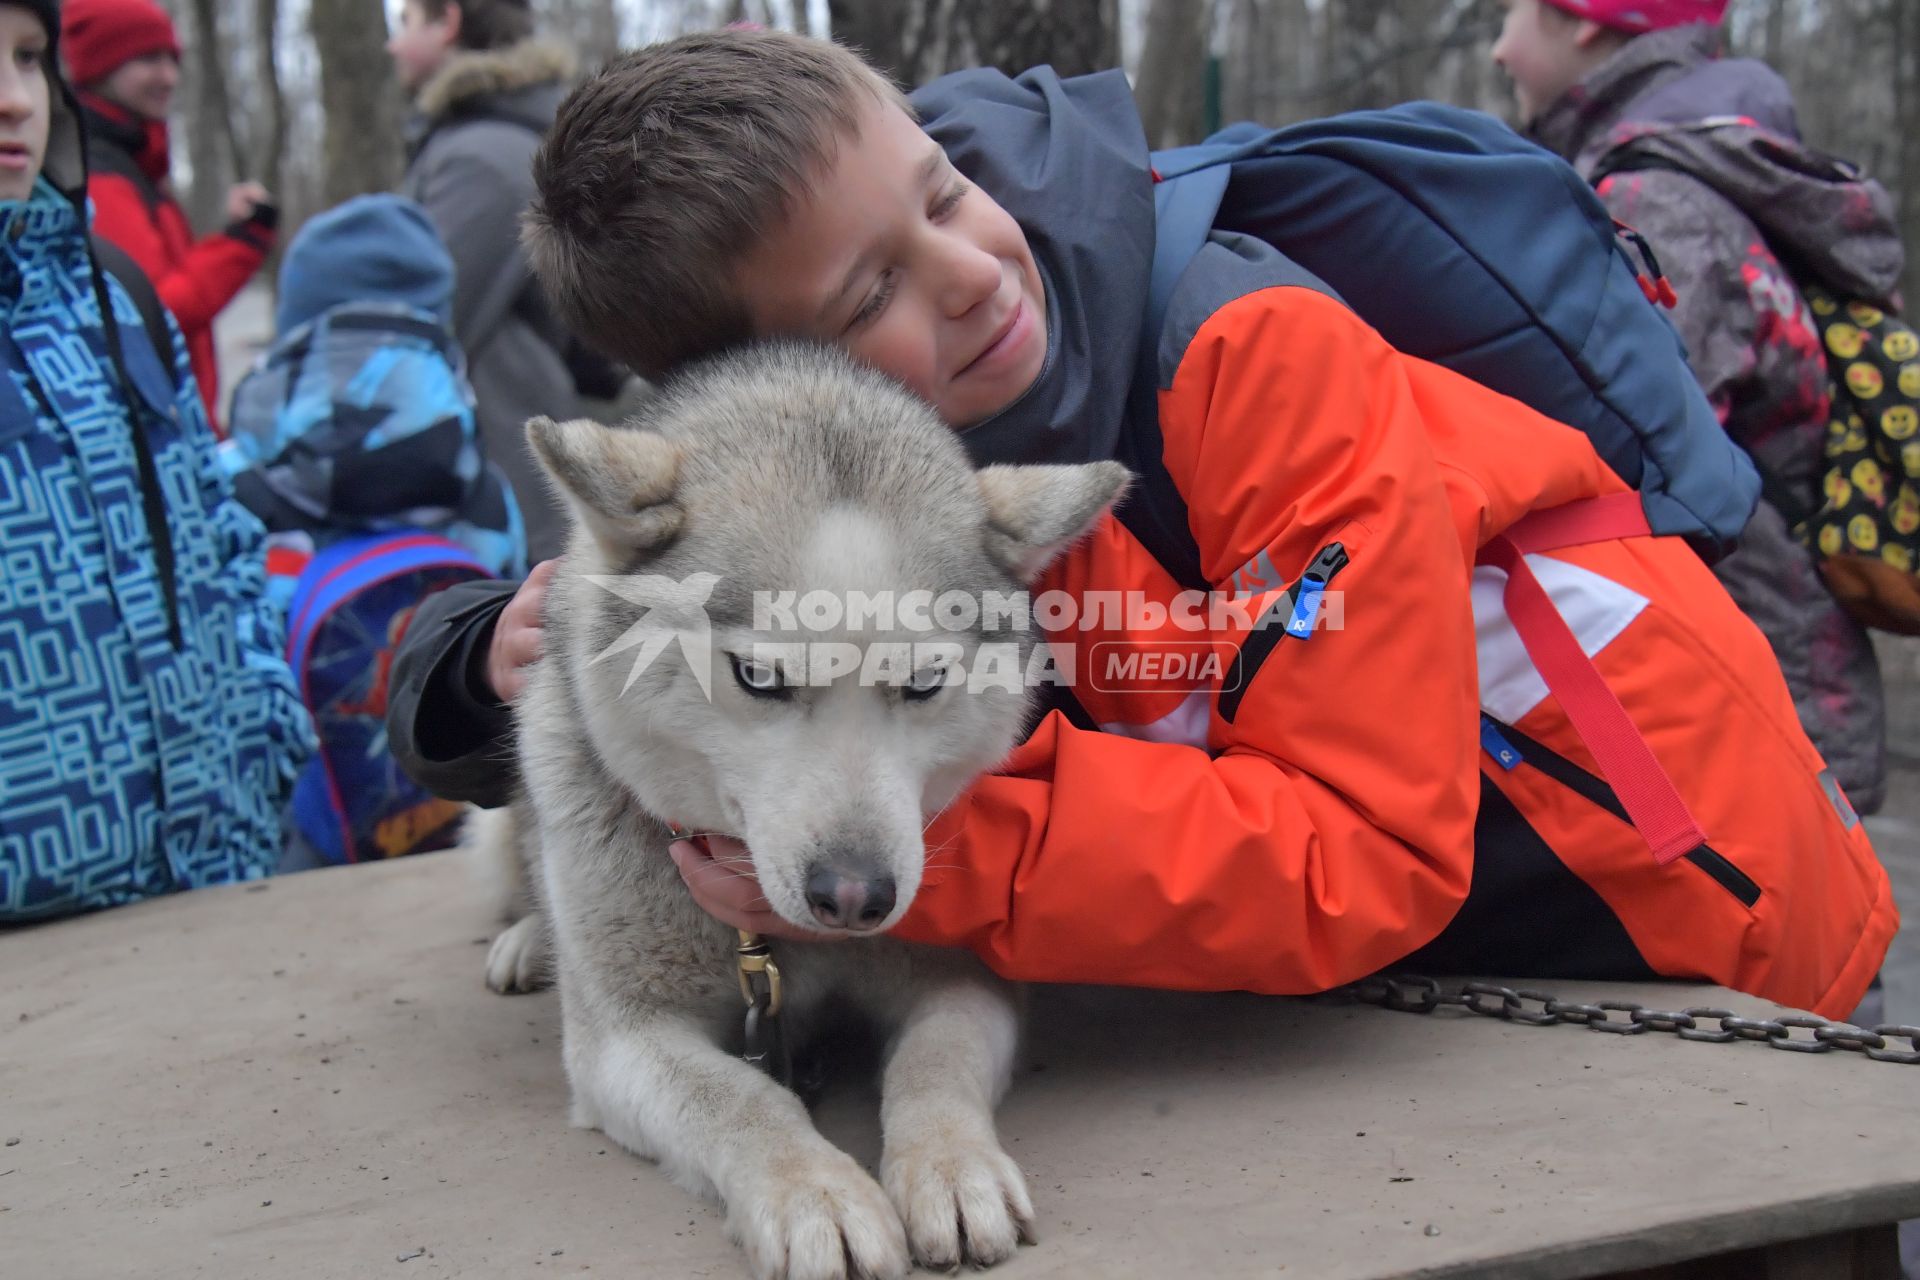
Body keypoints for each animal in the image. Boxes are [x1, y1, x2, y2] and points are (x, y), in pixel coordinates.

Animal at [480, 345, 1128, 1280]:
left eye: (924, 683)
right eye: (759, 678)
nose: (855, 896)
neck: (777, 947)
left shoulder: (966, 979)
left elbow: (935, 1062)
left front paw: (951, 1166)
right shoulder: (623, 1042)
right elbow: (740, 1097)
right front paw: (815, 1194)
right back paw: (531, 940)